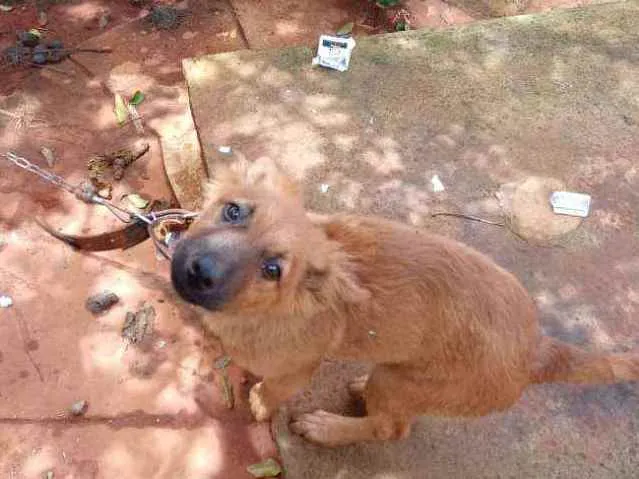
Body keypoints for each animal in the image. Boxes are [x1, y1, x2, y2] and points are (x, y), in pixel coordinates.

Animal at [170, 159, 639, 448]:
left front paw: (261, 401)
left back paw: (327, 428)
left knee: (390, 429)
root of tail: (537, 349)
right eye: (232, 211)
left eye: (272, 269)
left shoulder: (298, 368)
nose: (199, 272)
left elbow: (273, 389)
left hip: (399, 382)